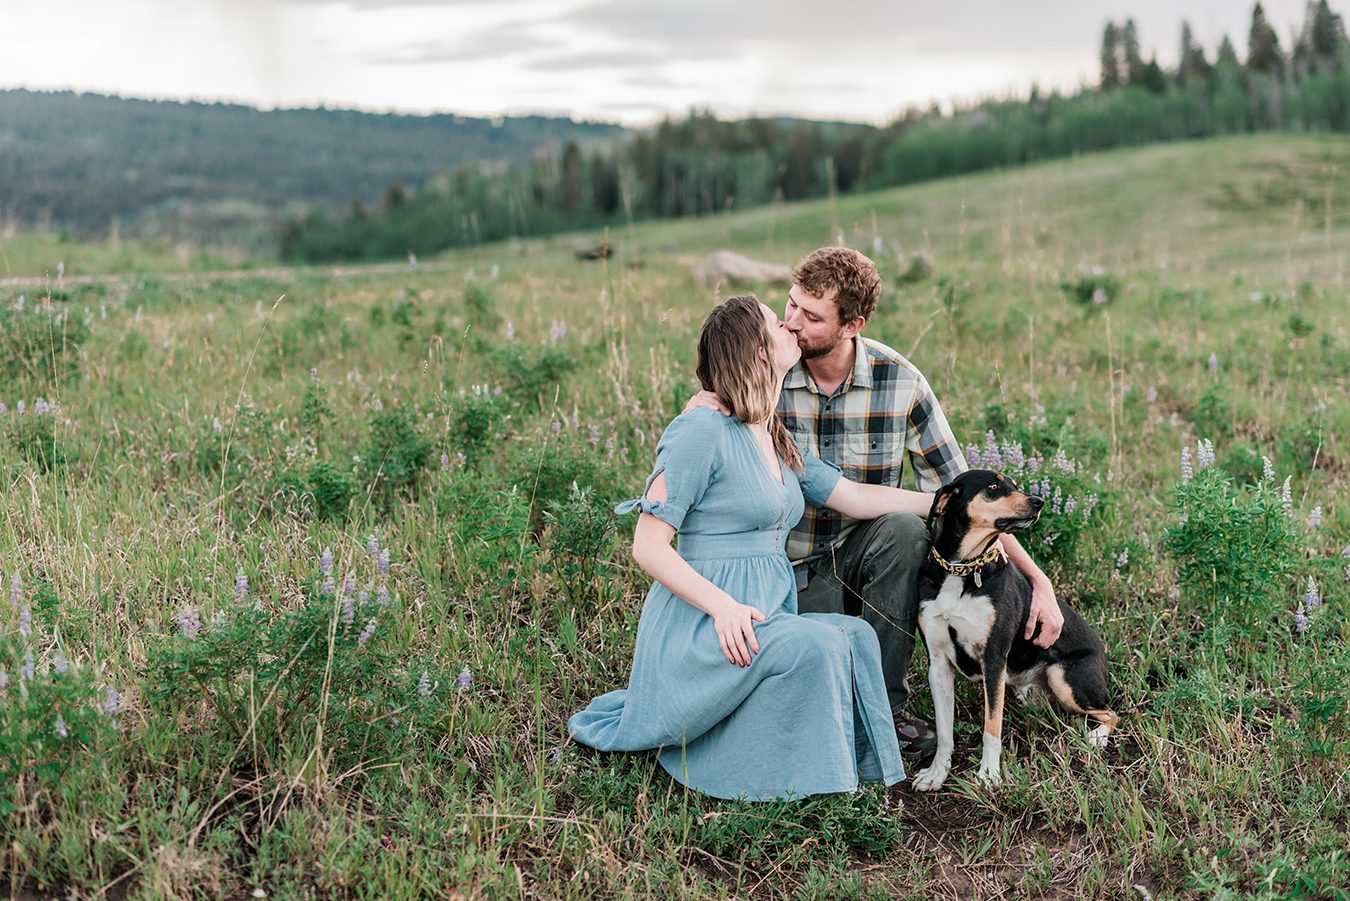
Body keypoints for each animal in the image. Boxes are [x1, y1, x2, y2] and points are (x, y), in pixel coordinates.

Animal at [907, 470, 1117, 794]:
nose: (1039, 501)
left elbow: (992, 727)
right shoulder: (938, 662)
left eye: (1015, 486)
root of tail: (1102, 655)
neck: (963, 569)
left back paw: (1097, 737)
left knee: (1113, 712)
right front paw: (936, 774)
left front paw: (989, 775)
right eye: (994, 487)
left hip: (1065, 680)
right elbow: (944, 731)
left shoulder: (994, 658)